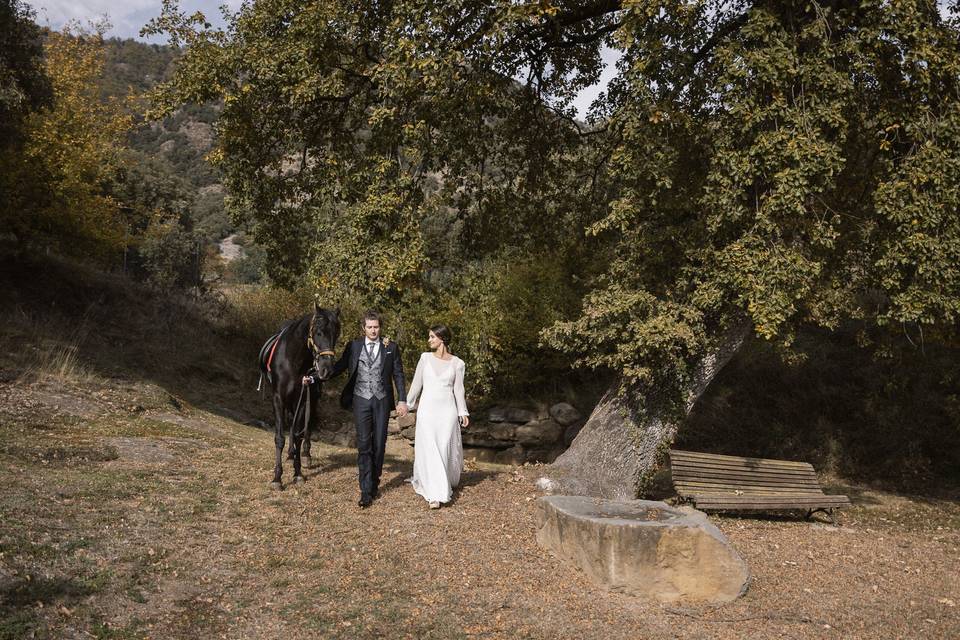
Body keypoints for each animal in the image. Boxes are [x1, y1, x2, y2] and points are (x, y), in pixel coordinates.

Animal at [258, 302, 342, 488]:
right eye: (318, 332)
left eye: (336, 335)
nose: (326, 370)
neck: (291, 360)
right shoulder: (278, 399)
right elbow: (280, 437)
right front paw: (277, 478)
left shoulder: (302, 399)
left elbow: (298, 435)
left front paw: (297, 473)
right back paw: (290, 454)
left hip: (313, 397)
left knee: (306, 426)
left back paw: (304, 455)